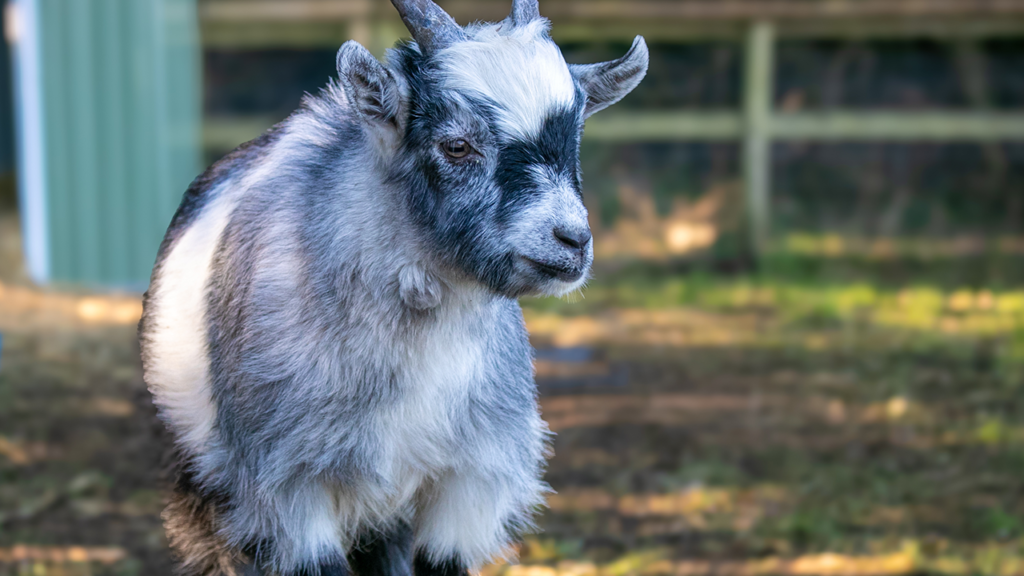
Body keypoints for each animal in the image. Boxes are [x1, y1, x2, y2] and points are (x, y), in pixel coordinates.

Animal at [139, 1, 647, 574]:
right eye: (457, 145)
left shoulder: (468, 482)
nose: (573, 240)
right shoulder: (289, 487)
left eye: (574, 138)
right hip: (206, 477)